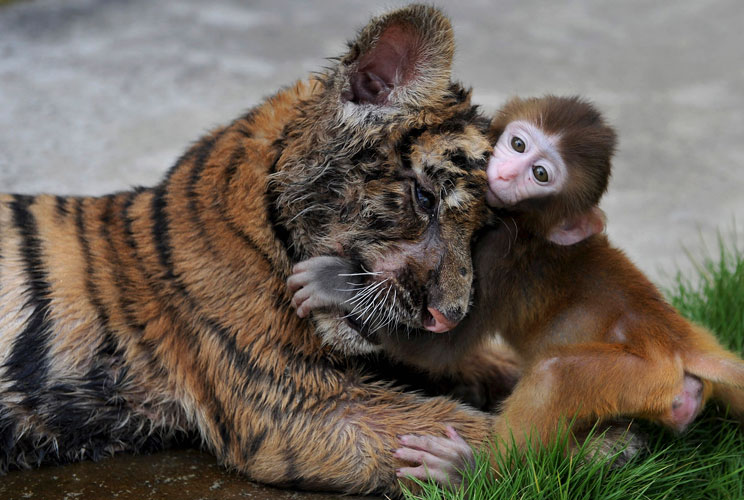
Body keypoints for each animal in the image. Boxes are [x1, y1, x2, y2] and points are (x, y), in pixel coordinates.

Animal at [288, 95, 744, 486]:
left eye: (540, 175)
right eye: (518, 143)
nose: (506, 172)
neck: (528, 227)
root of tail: (681, 340)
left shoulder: (497, 255)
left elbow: (440, 346)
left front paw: (336, 283)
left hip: (641, 375)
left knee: (555, 374)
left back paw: (473, 471)